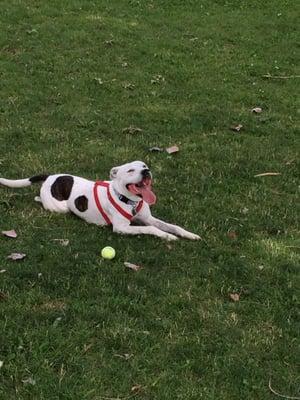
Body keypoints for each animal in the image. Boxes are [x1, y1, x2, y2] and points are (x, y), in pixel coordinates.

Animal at [0, 159, 202, 241]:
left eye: (144, 166)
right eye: (130, 170)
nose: (147, 171)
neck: (129, 200)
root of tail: (51, 176)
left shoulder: (147, 218)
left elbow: (172, 226)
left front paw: (188, 234)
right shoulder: (121, 228)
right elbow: (151, 229)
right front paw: (167, 237)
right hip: (60, 207)